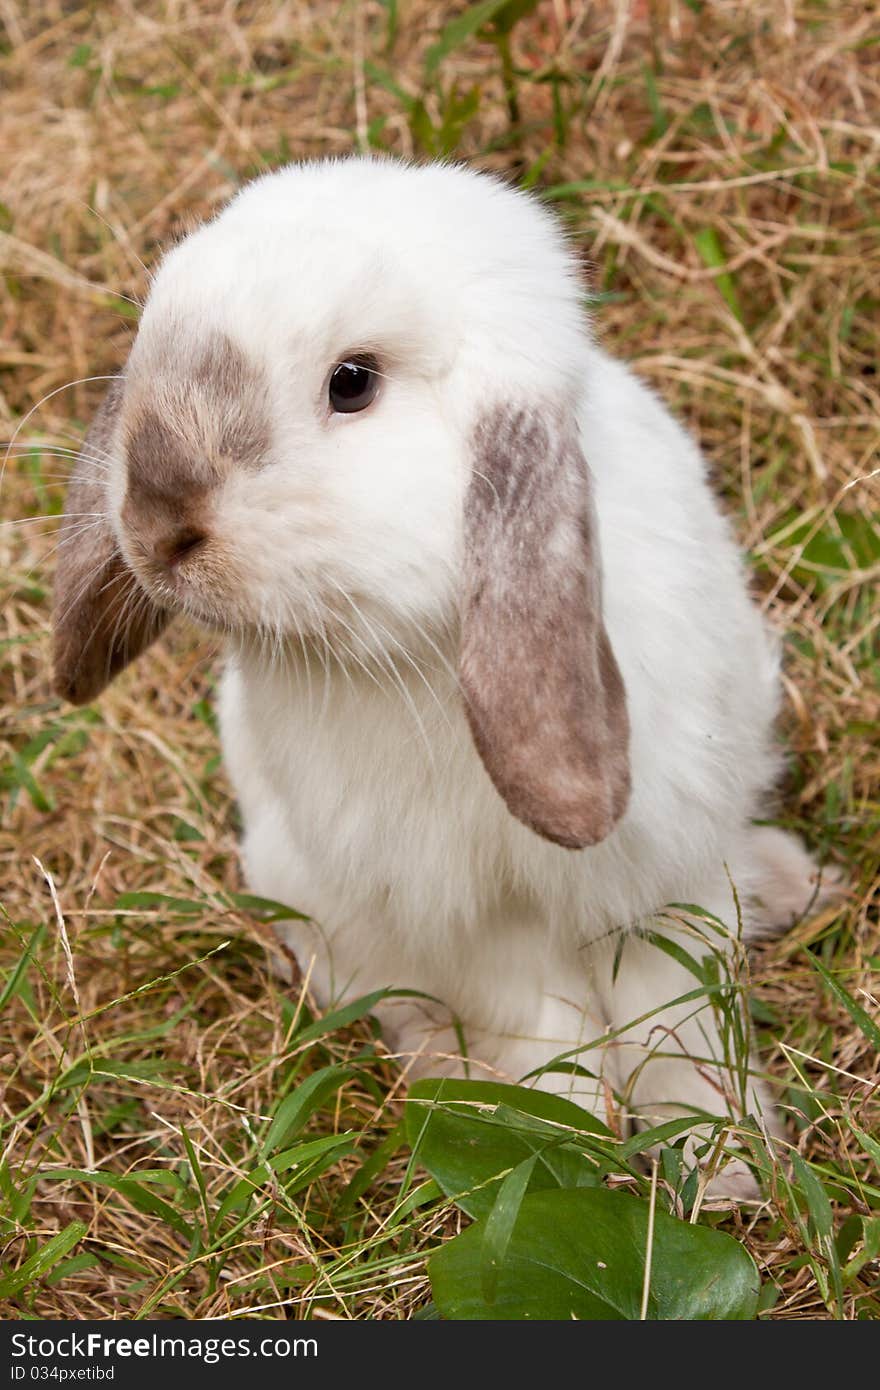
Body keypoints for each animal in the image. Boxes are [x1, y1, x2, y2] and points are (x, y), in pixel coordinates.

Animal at [51, 154, 834, 1195]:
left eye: (352, 383)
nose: (155, 522)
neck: (418, 646)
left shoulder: (660, 872)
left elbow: (679, 1018)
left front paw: (725, 1164)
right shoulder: (475, 920)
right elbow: (545, 1028)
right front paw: (562, 1140)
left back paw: (792, 885)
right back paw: (442, 1073)